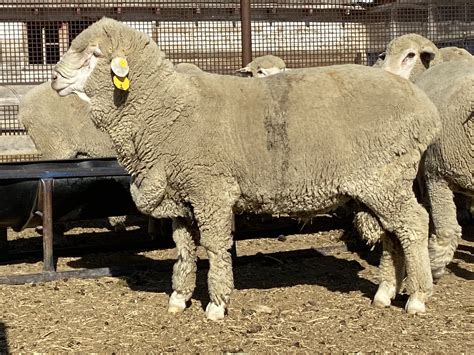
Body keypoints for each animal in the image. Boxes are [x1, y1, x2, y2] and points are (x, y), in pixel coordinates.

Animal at [51, 18, 440, 322]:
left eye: (94, 54)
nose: (54, 78)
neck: (166, 109)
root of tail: (425, 108)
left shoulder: (210, 191)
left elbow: (215, 246)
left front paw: (216, 305)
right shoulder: (181, 196)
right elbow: (183, 250)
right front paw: (178, 298)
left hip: (384, 178)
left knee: (414, 225)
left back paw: (417, 297)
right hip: (382, 184)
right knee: (392, 234)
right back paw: (385, 292)